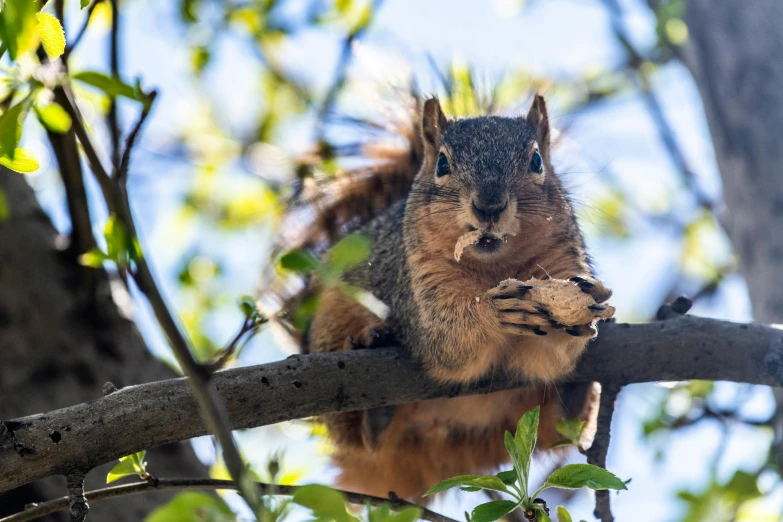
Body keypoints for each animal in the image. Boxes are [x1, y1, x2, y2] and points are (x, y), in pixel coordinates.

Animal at [266, 92, 616, 500]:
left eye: (536, 161)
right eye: (443, 164)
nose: (489, 207)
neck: (494, 267)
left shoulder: (563, 259)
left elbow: (550, 358)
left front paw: (584, 308)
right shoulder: (417, 278)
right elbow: (444, 337)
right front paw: (494, 311)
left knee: (558, 426)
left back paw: (576, 394)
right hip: (331, 328)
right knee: (358, 437)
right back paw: (374, 390)